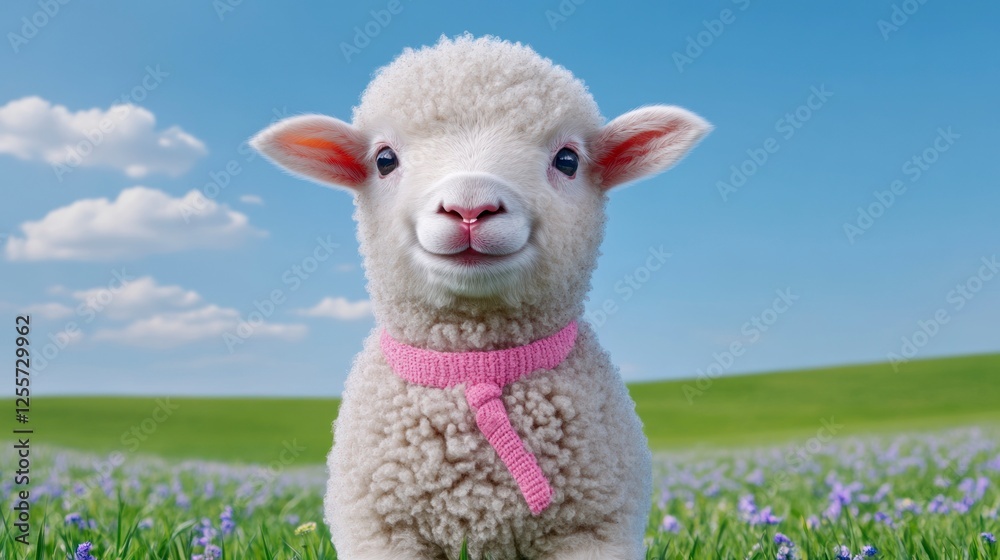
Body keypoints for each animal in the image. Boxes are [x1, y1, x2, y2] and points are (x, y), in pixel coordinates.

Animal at [251, 34, 710, 560]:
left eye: (568, 160)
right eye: (384, 160)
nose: (470, 206)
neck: (475, 367)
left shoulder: (595, 529)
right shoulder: (382, 532)